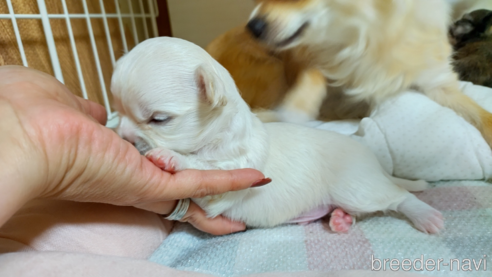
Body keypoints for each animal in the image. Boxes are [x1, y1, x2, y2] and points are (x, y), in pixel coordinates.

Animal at [111, 37, 446, 233]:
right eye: (118, 109)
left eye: (159, 119)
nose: (123, 136)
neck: (217, 135)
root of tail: (375, 165)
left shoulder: (231, 176)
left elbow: (204, 167)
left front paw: (171, 157)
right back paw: (341, 220)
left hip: (357, 188)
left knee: (399, 196)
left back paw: (426, 216)